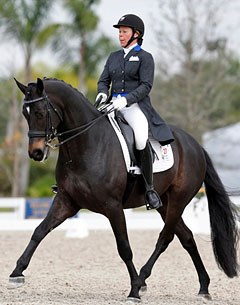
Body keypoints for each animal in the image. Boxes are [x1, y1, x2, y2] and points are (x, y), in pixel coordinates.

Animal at [9, 76, 238, 302]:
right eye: (25, 114)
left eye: (40, 112)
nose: (36, 153)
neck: (86, 144)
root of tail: (196, 146)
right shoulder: (66, 202)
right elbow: (39, 231)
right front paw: (16, 272)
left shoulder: (113, 206)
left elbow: (124, 248)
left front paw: (134, 290)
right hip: (165, 204)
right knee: (187, 237)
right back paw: (203, 287)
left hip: (178, 201)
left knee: (165, 239)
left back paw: (143, 279)